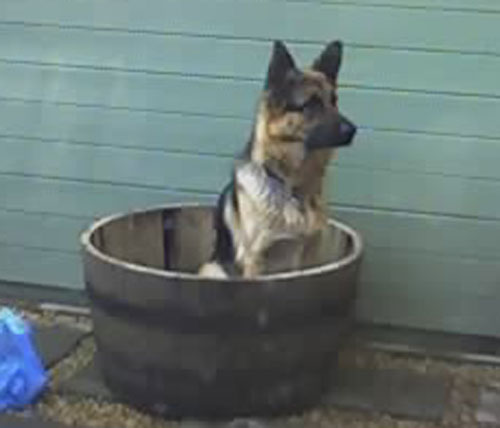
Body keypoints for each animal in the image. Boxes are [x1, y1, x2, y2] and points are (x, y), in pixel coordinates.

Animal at [198, 40, 356, 280]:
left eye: (334, 101)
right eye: (310, 104)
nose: (353, 131)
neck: (292, 189)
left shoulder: (311, 257)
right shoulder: (255, 261)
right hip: (214, 269)